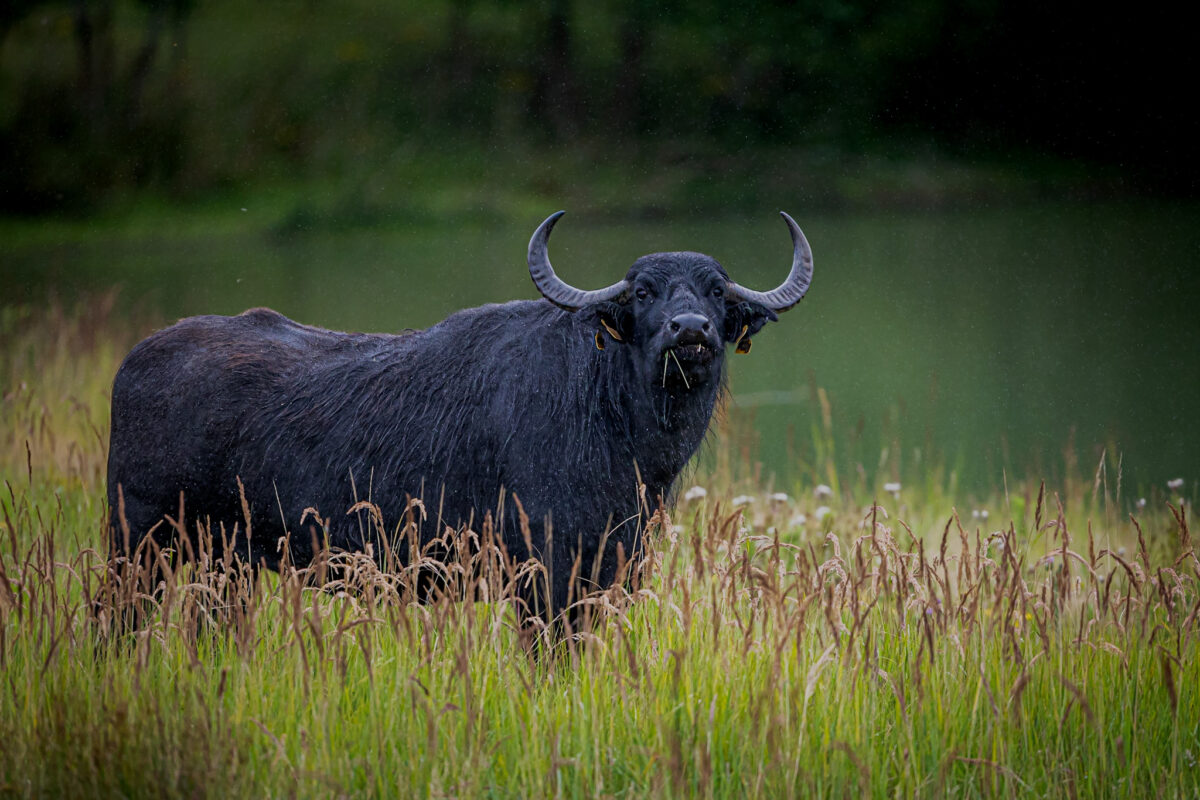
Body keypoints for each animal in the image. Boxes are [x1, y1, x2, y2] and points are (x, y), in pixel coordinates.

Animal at [108, 212, 816, 618]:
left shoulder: (613, 567)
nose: (690, 329)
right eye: (643, 291)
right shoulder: (544, 571)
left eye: (716, 291)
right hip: (136, 541)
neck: (616, 426)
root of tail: (137, 360)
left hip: (222, 561)